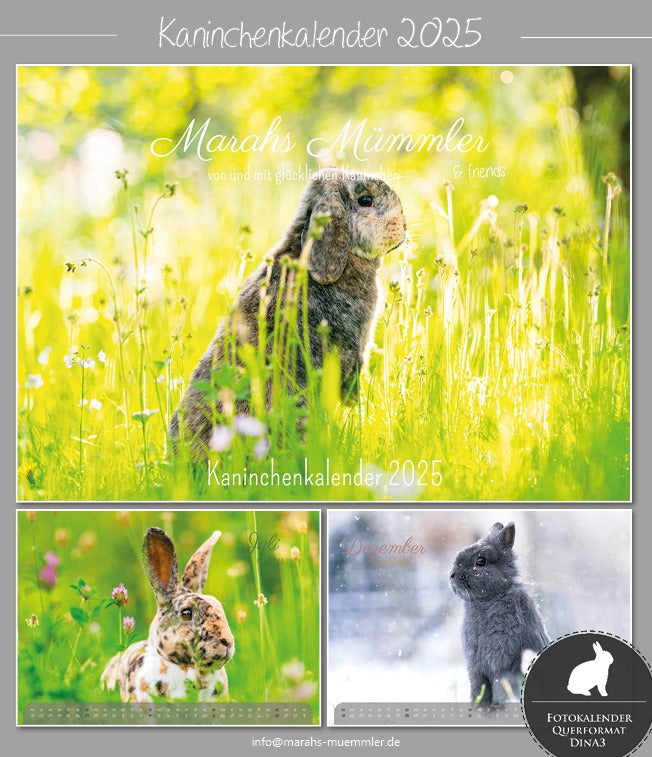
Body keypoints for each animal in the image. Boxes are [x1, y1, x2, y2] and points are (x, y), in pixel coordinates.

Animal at [449, 522, 549, 705]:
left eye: (481, 561)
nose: (451, 575)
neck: (489, 598)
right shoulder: (476, 671)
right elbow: (478, 691)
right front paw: (478, 707)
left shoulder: (503, 667)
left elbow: (500, 690)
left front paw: (497, 706)